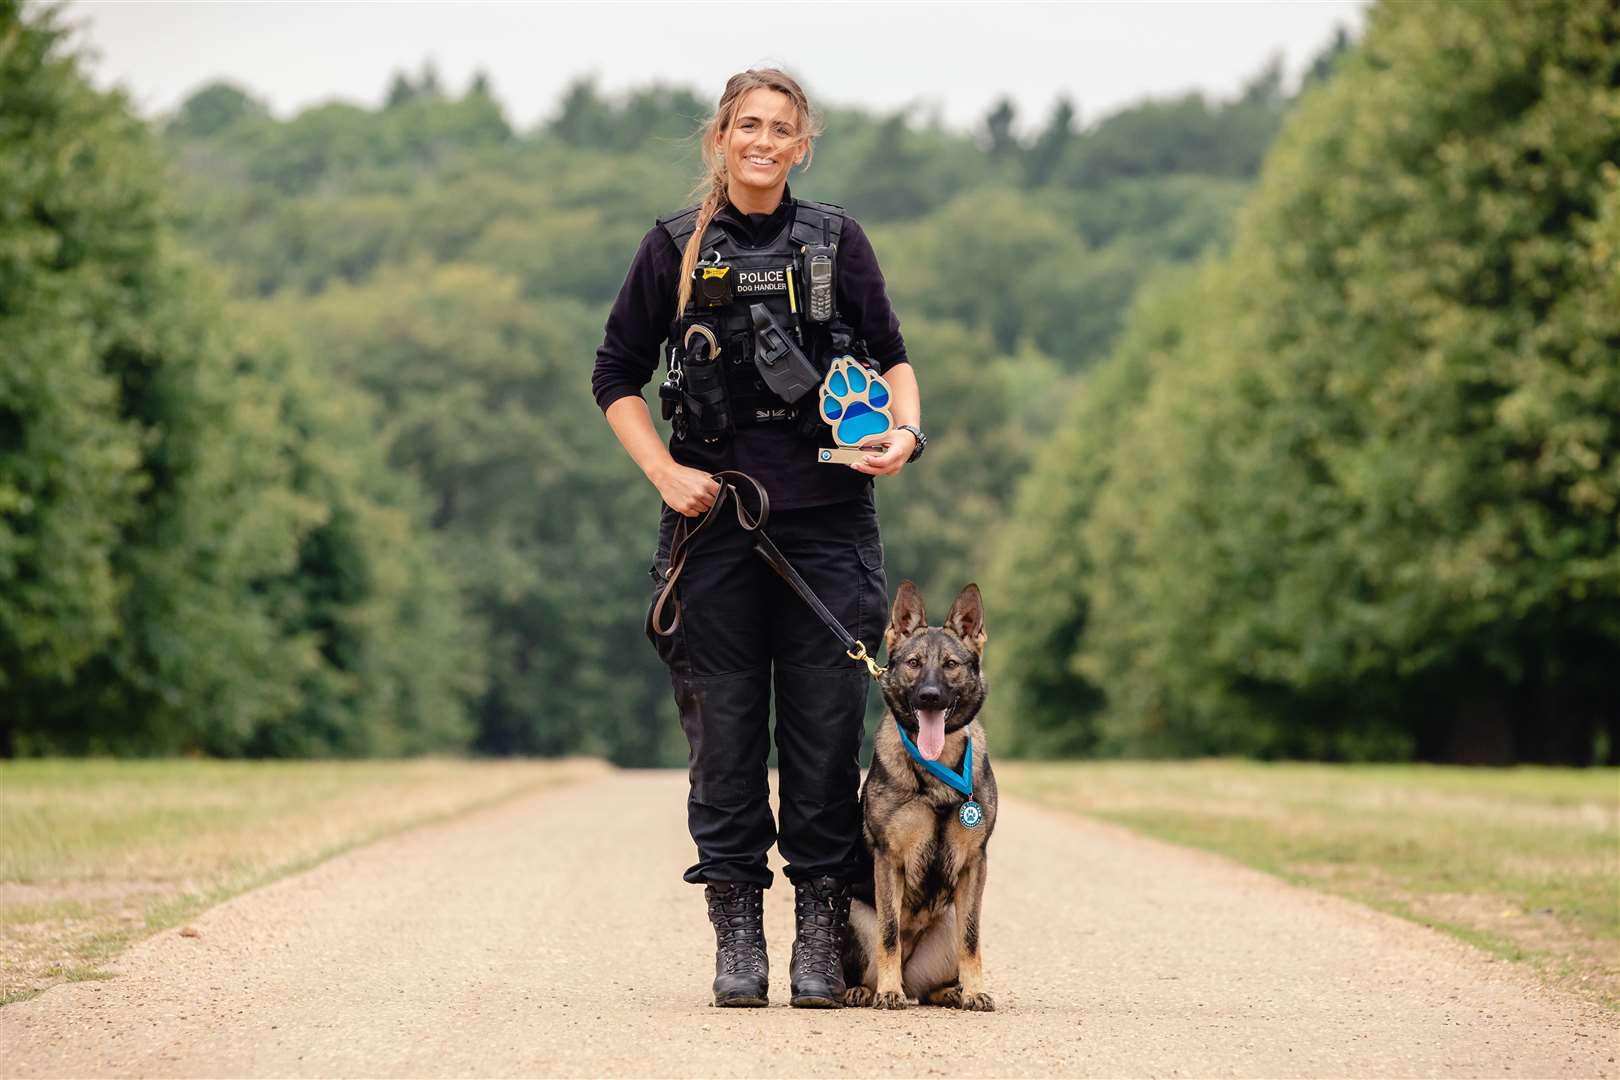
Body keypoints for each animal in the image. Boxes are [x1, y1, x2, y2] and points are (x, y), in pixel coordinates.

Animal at [842, 582, 991, 1016]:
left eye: (951, 664)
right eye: (913, 663)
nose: (929, 696)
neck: (936, 768)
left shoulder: (974, 864)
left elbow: (972, 940)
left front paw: (975, 991)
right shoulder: (889, 860)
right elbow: (890, 933)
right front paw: (888, 993)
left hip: (948, 920)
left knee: (931, 985)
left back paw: (953, 992)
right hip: (853, 916)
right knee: (868, 965)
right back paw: (865, 990)